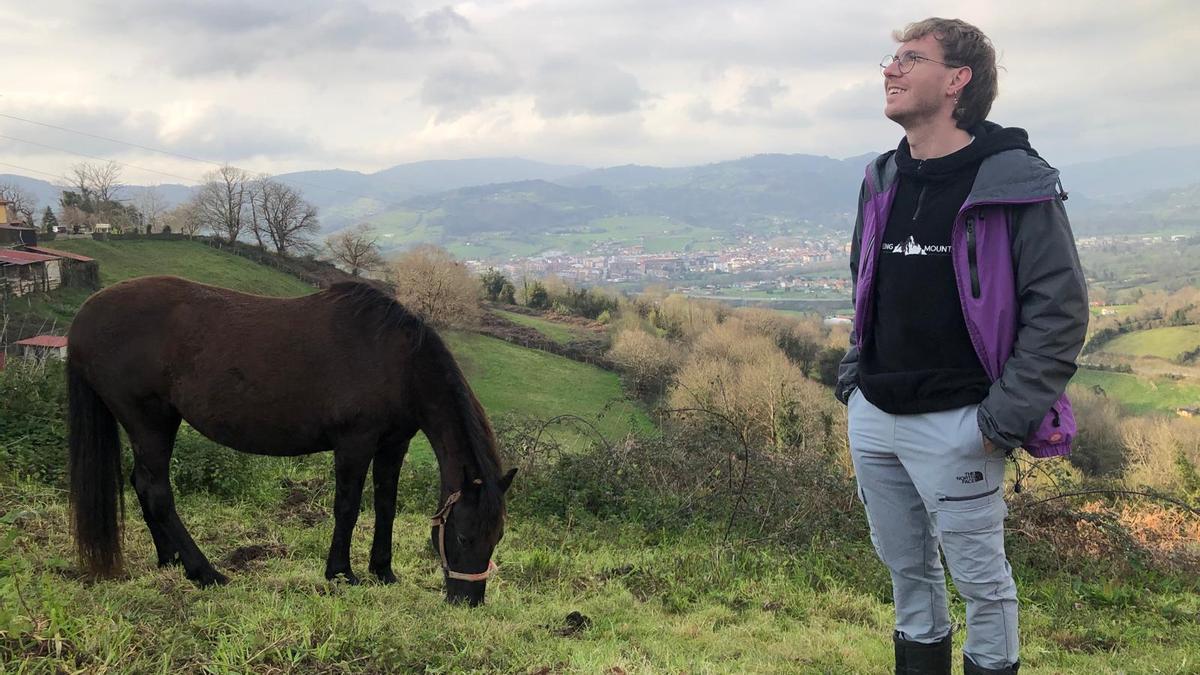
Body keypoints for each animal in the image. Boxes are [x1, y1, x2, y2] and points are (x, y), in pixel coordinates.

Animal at [65, 273, 516, 605]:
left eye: (497, 537)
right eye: (463, 536)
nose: (468, 600)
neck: (395, 360)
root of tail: (86, 315)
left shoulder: (393, 444)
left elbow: (385, 506)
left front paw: (383, 571)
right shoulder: (354, 443)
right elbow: (348, 508)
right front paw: (341, 572)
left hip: (155, 425)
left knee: (143, 485)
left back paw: (170, 560)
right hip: (149, 422)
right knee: (158, 492)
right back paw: (205, 572)